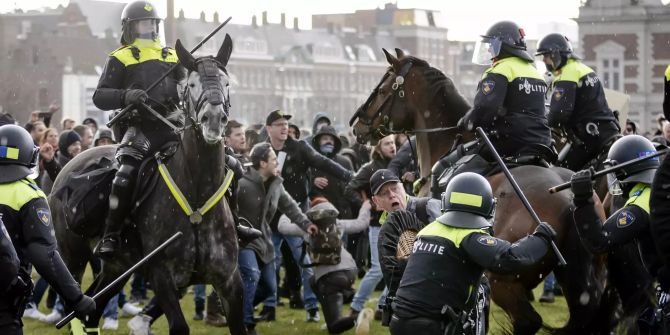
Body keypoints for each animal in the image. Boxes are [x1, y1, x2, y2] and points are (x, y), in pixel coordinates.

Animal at [49, 34, 247, 335]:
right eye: (191, 84)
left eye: (226, 83)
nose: (213, 121)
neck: (197, 196)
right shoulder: (161, 276)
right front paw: (136, 97)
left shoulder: (229, 281)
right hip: (72, 256)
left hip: (117, 269)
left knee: (92, 311)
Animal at [352, 48, 620, 334]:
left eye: (382, 89)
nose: (357, 125)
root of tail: (570, 197)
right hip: (582, 281)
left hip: (504, 280)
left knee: (529, 320)